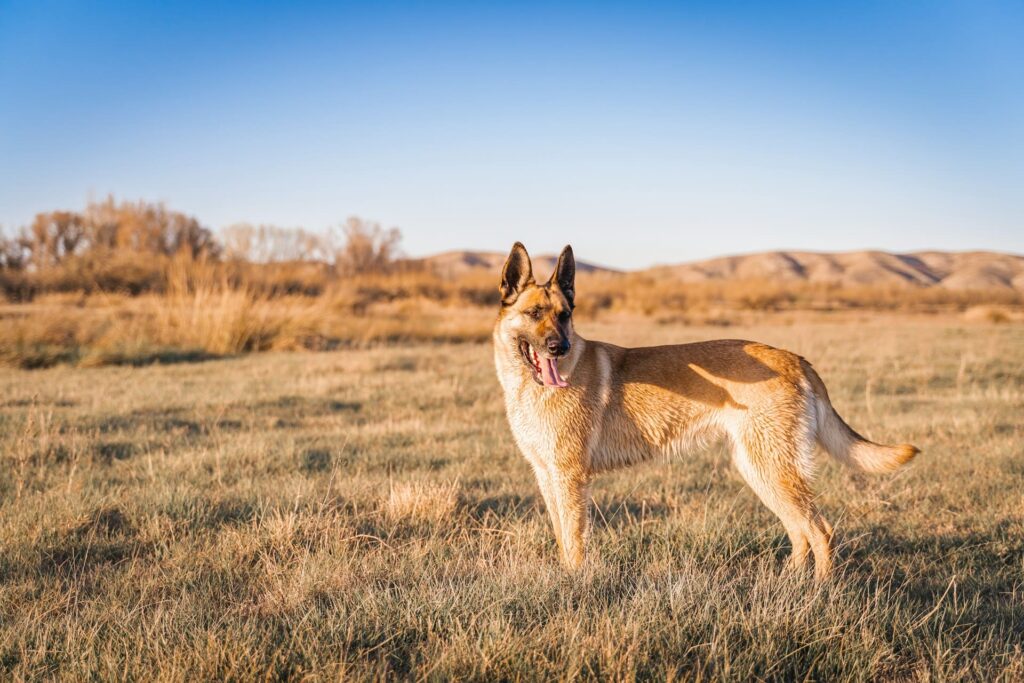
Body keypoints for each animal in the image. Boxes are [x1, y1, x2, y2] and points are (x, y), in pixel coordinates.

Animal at [491, 242, 917, 581]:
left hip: (772, 469)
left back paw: (819, 590)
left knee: (820, 530)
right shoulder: (548, 477)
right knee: (799, 531)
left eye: (564, 315)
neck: (529, 386)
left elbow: (575, 542)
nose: (558, 347)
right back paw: (789, 585)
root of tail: (794, 358)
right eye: (534, 314)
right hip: (760, 469)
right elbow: (563, 538)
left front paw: (576, 586)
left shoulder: (570, 479)